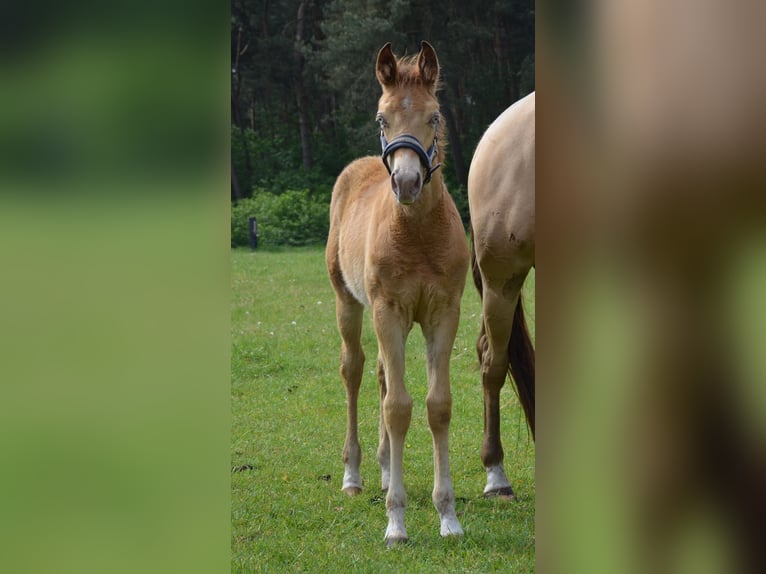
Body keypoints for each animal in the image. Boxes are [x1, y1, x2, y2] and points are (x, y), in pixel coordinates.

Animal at [325, 41, 469, 546]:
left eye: (435, 116)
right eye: (381, 118)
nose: (406, 183)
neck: (417, 236)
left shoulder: (443, 312)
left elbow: (436, 406)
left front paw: (448, 516)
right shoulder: (387, 311)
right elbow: (398, 408)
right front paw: (396, 522)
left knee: (385, 376)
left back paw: (387, 470)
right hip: (350, 304)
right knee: (354, 371)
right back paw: (354, 476)